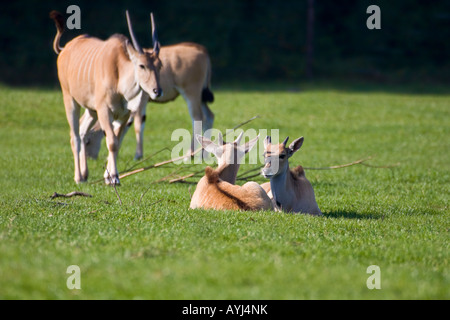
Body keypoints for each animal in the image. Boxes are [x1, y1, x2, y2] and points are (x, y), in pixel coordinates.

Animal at [50, 10, 163, 185]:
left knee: (82, 131)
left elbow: (116, 141)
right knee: (74, 136)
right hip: (70, 100)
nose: (157, 91)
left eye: (160, 65)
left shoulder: (123, 115)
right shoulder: (104, 111)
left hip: (91, 111)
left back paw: (85, 174)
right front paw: (114, 178)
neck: (118, 74)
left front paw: (108, 176)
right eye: (142, 65)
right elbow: (112, 142)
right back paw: (78, 177)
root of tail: (65, 49)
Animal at [81, 42, 214, 162]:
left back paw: (188, 155)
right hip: (201, 98)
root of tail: (201, 50)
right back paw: (204, 155)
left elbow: (137, 124)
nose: (90, 159)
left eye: (88, 141)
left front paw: (137, 155)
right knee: (209, 116)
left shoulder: (140, 102)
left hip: (191, 94)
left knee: (198, 118)